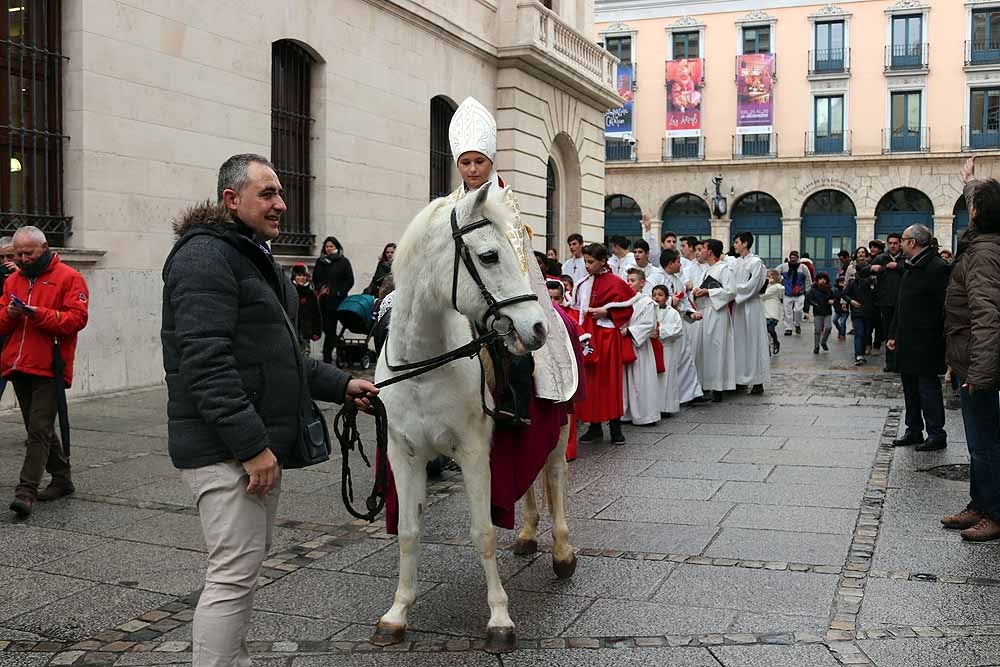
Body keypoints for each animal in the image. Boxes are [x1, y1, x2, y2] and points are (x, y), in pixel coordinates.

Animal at [374, 181, 580, 652]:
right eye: (488, 256)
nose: (536, 329)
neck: (423, 366)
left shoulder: (471, 452)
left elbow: (482, 531)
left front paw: (500, 619)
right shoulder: (404, 454)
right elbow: (408, 531)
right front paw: (396, 614)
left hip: (560, 427)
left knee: (554, 476)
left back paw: (562, 553)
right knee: (530, 477)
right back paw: (527, 535)